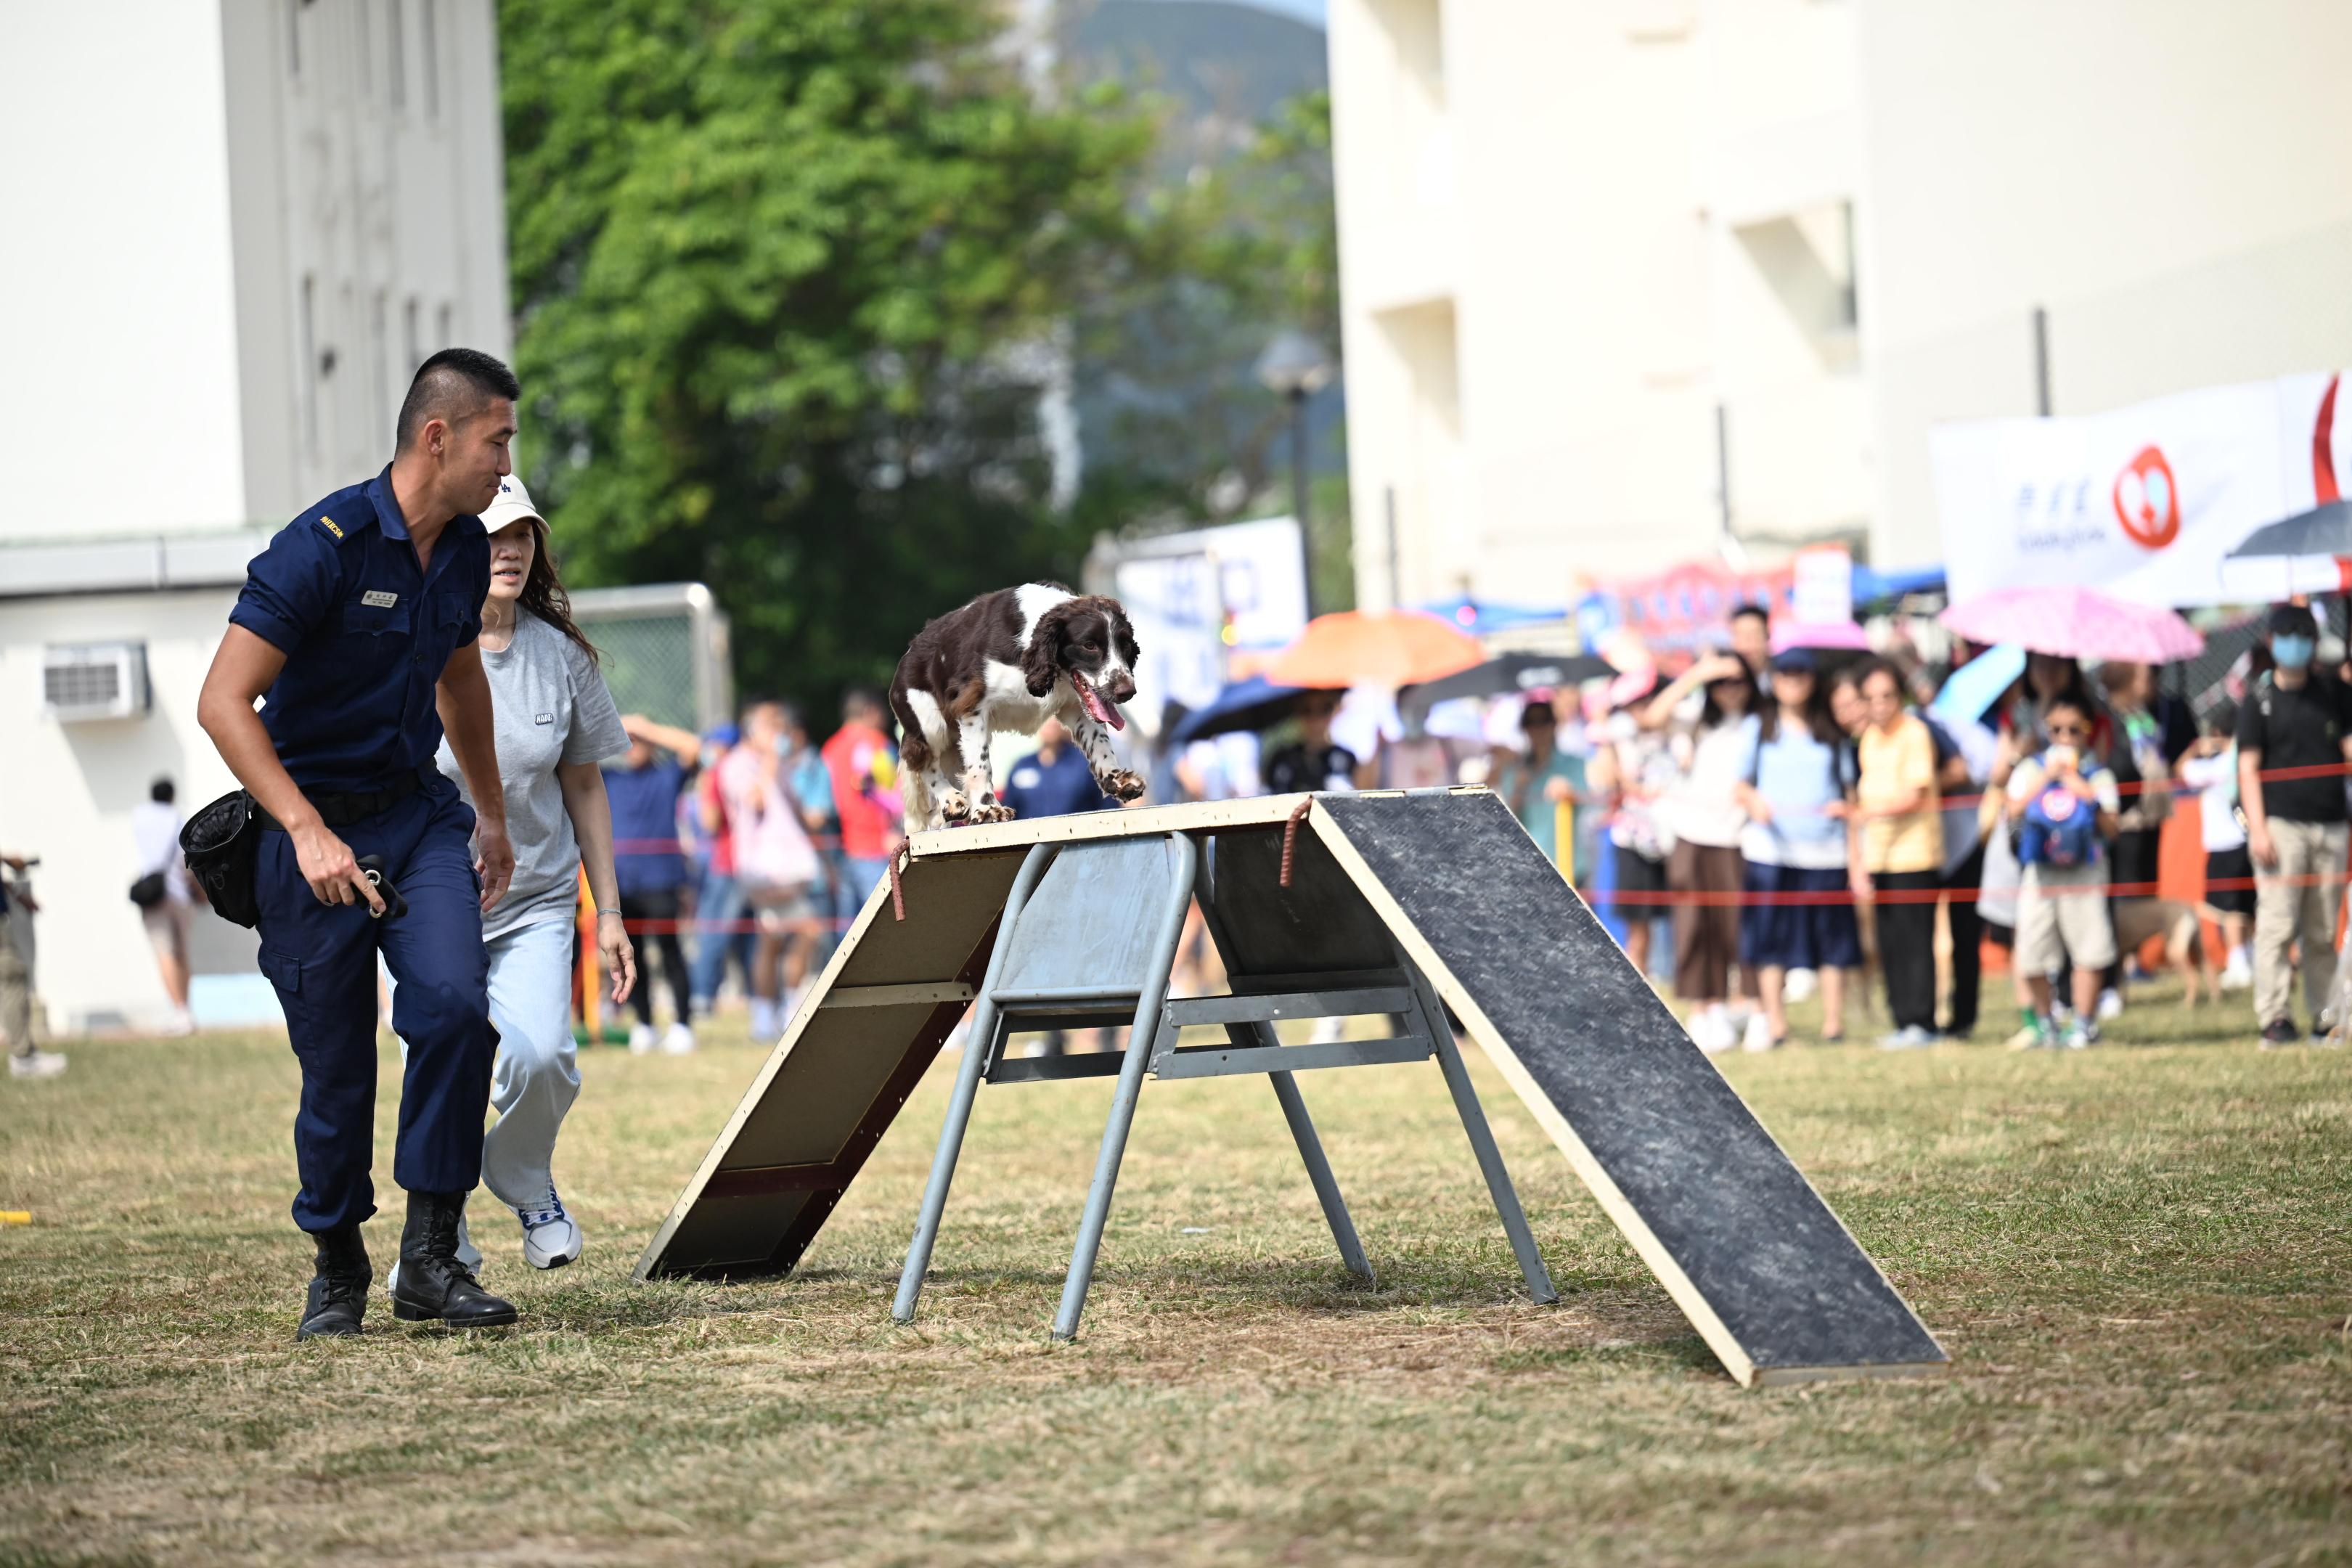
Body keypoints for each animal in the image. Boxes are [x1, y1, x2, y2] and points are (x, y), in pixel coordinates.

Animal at [884, 585, 1143, 832]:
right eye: (1089, 645)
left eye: (1126, 645)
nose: (1127, 692)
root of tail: (908, 653)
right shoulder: (971, 705)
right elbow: (981, 764)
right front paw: (987, 810)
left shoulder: (1075, 705)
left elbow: (1100, 742)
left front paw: (1117, 780)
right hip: (929, 722)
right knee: (921, 760)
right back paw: (953, 800)